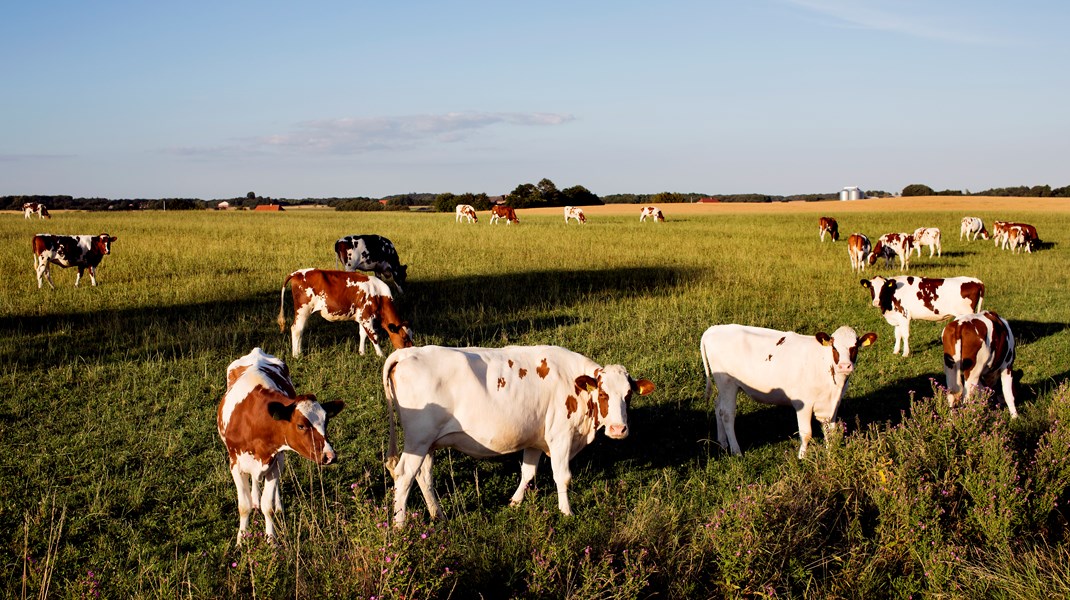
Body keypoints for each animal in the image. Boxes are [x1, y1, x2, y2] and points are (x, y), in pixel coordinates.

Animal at [218, 344, 346, 541]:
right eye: (301, 425)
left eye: (326, 422)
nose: (330, 456)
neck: (253, 421)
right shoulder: (235, 465)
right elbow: (244, 506)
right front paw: (241, 539)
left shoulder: (275, 461)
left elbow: (268, 507)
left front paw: (272, 540)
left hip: (280, 458)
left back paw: (277, 505)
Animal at [276, 269, 413, 357]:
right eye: (404, 338)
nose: (411, 350)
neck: (380, 295)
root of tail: (297, 273)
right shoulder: (366, 317)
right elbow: (373, 336)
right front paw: (381, 355)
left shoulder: (362, 317)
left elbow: (362, 334)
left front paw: (361, 353)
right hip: (303, 309)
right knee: (296, 329)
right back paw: (296, 355)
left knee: (301, 330)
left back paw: (299, 351)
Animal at [380, 346, 654, 524]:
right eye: (604, 394)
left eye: (628, 395)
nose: (619, 429)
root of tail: (407, 352)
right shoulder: (561, 436)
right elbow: (562, 477)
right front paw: (567, 512)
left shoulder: (536, 437)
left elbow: (528, 472)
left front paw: (515, 502)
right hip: (419, 438)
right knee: (404, 475)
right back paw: (400, 525)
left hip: (428, 443)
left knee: (424, 476)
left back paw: (439, 515)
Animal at [701, 325, 877, 455]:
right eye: (834, 346)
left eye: (855, 347)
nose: (844, 366)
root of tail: (714, 329)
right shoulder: (804, 404)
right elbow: (806, 433)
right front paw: (802, 457)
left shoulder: (833, 404)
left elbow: (830, 432)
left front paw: (830, 454)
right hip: (727, 383)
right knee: (727, 414)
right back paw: (736, 451)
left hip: (726, 386)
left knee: (718, 406)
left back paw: (723, 442)